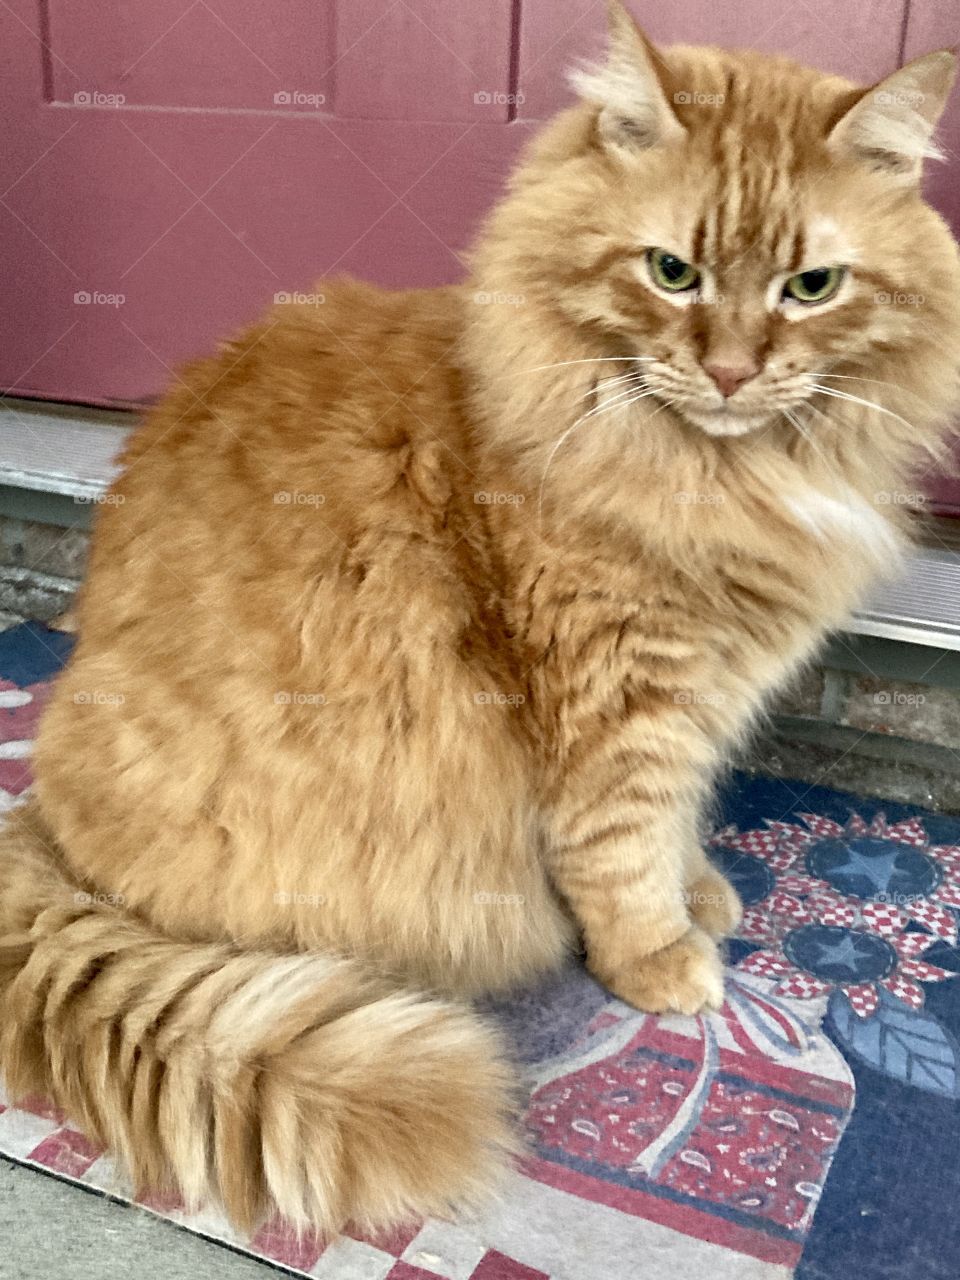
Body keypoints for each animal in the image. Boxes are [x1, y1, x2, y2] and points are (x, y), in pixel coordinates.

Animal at [1, 0, 960, 1239]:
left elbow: (678, 821)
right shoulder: (620, 701)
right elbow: (623, 849)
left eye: (811, 286)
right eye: (673, 271)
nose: (734, 372)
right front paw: (663, 954)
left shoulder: (698, 694)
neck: (716, 475)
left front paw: (700, 888)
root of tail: (39, 811)